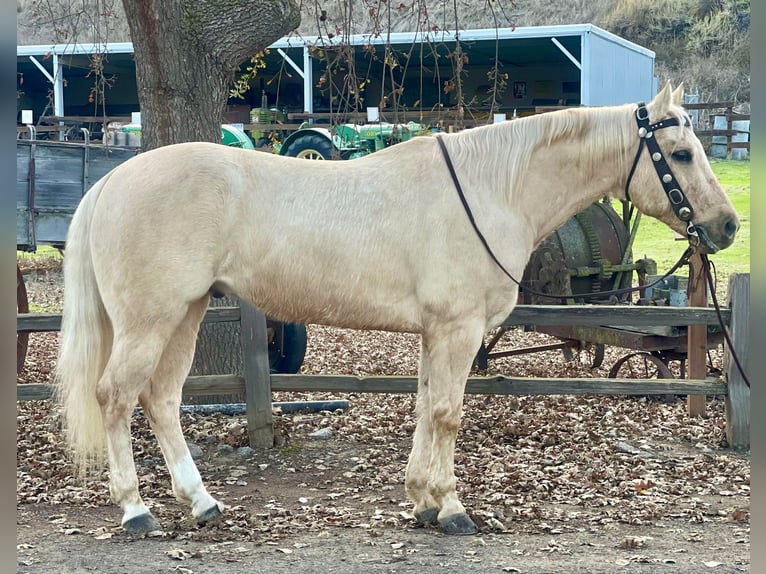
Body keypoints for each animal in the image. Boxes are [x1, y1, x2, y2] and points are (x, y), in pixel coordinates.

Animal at [57, 83, 740, 536]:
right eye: (681, 153)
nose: (728, 226)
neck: (491, 188)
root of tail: (111, 182)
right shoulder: (459, 331)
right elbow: (447, 415)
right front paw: (453, 509)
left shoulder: (436, 333)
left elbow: (423, 410)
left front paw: (422, 502)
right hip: (152, 318)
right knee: (116, 395)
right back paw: (136, 510)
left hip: (188, 312)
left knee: (161, 399)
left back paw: (200, 502)